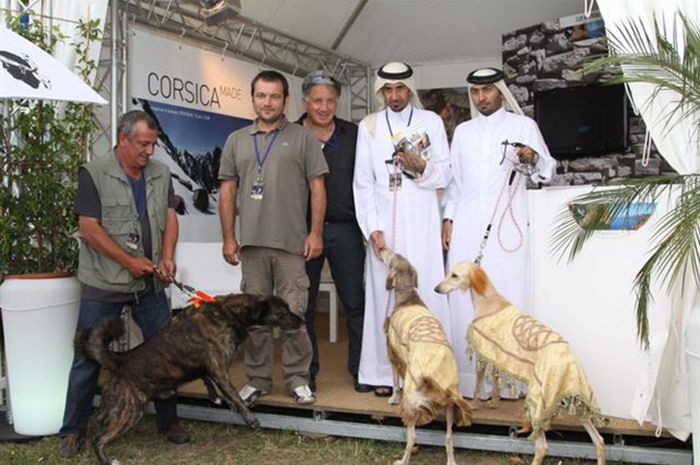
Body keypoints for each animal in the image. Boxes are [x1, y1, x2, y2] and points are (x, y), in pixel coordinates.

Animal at [77, 293, 302, 465]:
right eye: (282, 311)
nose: (302, 321)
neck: (229, 313)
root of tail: (120, 359)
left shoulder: (207, 367)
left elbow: (208, 379)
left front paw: (216, 398)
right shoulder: (219, 367)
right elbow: (234, 394)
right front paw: (249, 417)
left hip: (114, 405)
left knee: (93, 419)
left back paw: (84, 440)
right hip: (129, 411)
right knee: (100, 439)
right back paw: (106, 459)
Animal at [380, 248, 471, 465]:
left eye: (391, 257)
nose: (380, 249)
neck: (408, 299)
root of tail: (433, 373)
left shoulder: (392, 354)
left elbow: (395, 382)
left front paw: (393, 398)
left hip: (413, 402)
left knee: (412, 436)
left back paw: (402, 460)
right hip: (450, 404)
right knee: (448, 438)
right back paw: (451, 461)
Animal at [435, 261, 606, 465]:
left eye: (454, 275)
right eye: (448, 273)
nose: (436, 289)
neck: (488, 299)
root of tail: (569, 359)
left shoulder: (482, 353)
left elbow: (478, 381)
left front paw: (475, 403)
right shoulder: (495, 354)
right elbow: (496, 378)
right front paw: (494, 401)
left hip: (537, 402)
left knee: (542, 447)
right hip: (576, 398)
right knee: (599, 440)